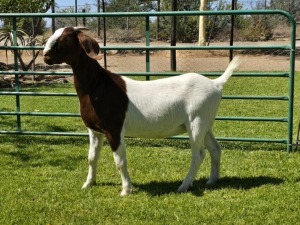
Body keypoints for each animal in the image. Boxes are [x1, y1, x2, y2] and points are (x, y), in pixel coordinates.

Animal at [42, 25, 239, 195]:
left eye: (67, 37)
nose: (45, 56)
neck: (97, 86)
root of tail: (216, 84)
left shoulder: (114, 129)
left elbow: (120, 161)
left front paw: (126, 190)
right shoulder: (94, 130)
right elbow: (92, 158)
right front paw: (88, 184)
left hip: (196, 121)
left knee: (198, 154)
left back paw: (184, 186)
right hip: (206, 122)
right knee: (215, 148)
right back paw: (212, 180)